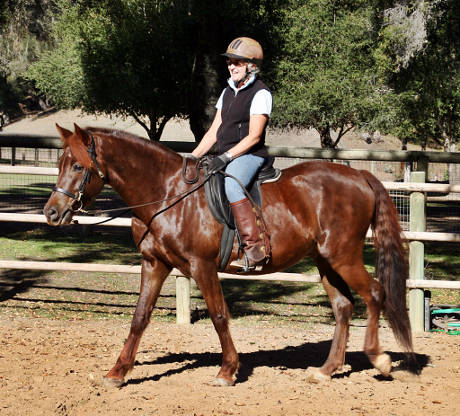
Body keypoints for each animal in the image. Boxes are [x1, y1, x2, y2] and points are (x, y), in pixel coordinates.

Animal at [43, 123, 414, 386]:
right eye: (61, 164)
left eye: (77, 167)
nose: (52, 212)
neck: (167, 193)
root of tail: (360, 175)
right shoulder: (155, 264)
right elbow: (140, 317)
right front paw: (118, 372)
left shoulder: (201, 265)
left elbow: (219, 315)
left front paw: (227, 371)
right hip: (325, 259)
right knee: (343, 306)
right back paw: (326, 369)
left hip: (343, 255)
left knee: (374, 293)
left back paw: (379, 359)